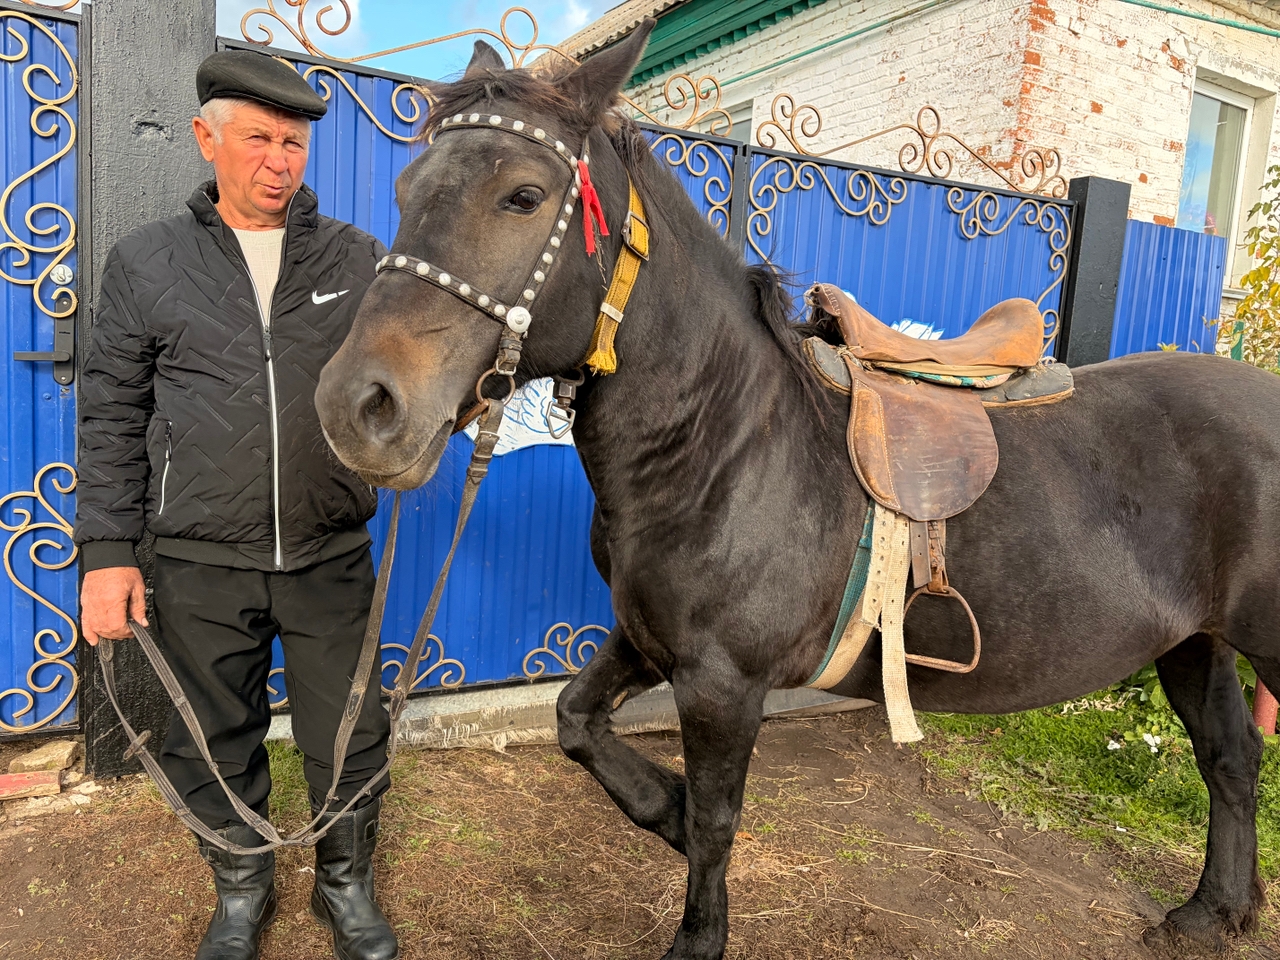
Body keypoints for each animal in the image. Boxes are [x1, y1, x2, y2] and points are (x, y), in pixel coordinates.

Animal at [314, 21, 1279, 959]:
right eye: (407, 187)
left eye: (522, 195)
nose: (359, 406)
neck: (723, 439)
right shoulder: (648, 641)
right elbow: (574, 720)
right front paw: (663, 809)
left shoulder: (721, 682)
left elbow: (717, 821)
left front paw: (697, 924)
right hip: (1194, 643)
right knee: (1230, 758)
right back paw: (1209, 913)